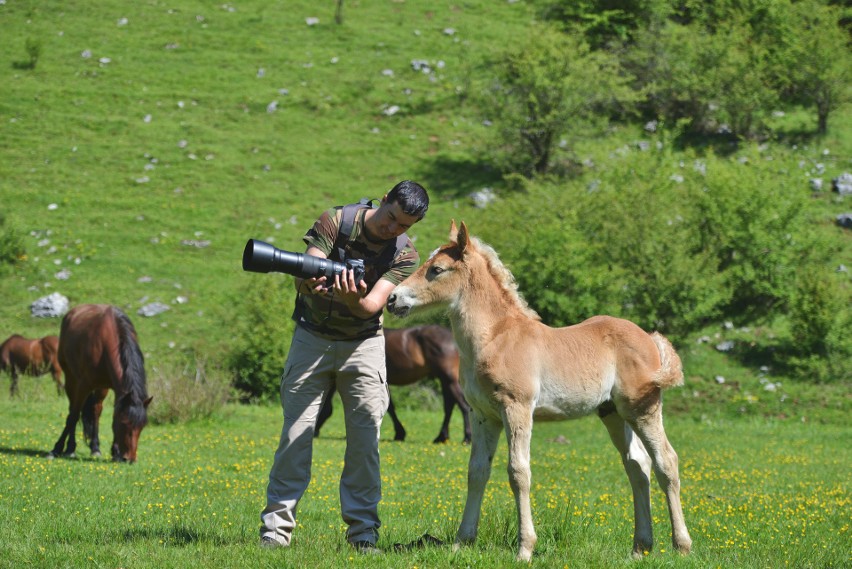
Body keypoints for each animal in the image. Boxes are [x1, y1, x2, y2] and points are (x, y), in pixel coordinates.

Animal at [47, 304, 153, 464]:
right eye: (125, 423)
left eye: (142, 426)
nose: (130, 459)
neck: (107, 341)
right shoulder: (83, 385)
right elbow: (73, 416)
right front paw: (57, 449)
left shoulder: (117, 390)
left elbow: (111, 414)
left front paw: (115, 452)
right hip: (71, 378)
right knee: (73, 410)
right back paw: (70, 448)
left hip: (101, 387)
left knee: (96, 410)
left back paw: (95, 448)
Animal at [316, 324, 472, 444]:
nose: (315, 432)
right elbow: (390, 408)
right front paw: (400, 433)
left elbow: (389, 408)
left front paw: (399, 433)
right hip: (445, 380)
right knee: (449, 407)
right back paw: (441, 437)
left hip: (449, 379)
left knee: (464, 406)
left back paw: (466, 438)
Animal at [386, 221, 692, 560]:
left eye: (437, 269)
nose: (393, 299)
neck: (496, 338)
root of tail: (650, 338)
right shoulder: (483, 415)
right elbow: (477, 472)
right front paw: (461, 542)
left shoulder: (516, 408)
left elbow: (519, 472)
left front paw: (525, 548)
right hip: (613, 413)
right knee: (638, 466)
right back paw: (640, 547)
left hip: (643, 409)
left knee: (666, 461)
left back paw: (681, 545)